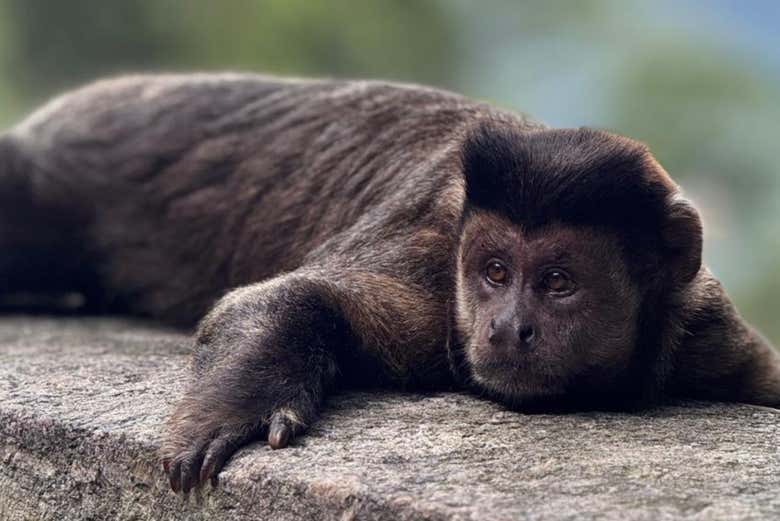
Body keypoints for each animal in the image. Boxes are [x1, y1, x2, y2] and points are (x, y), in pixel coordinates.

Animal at [0, 74, 778, 495]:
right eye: (495, 273)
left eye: (559, 282)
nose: (506, 326)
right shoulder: (435, 279)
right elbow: (280, 300)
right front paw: (234, 408)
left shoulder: (705, 332)